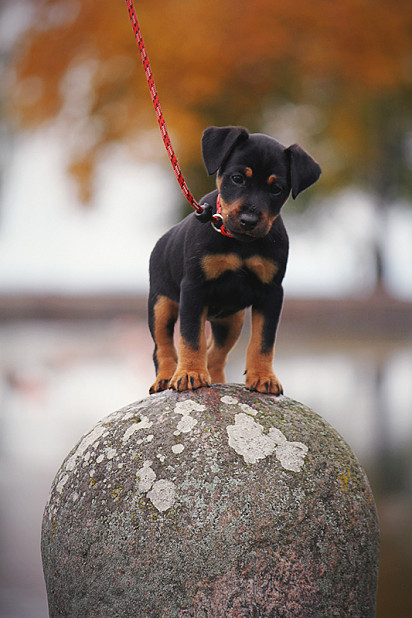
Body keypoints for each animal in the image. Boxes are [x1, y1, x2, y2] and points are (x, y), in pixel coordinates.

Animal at [148, 125, 322, 392]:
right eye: (237, 178)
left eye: (276, 189)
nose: (248, 221)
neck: (241, 244)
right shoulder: (193, 288)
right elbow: (190, 337)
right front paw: (189, 374)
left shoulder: (272, 292)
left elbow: (263, 341)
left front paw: (263, 377)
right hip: (161, 305)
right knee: (163, 347)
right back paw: (166, 378)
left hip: (230, 321)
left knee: (215, 355)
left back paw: (217, 380)